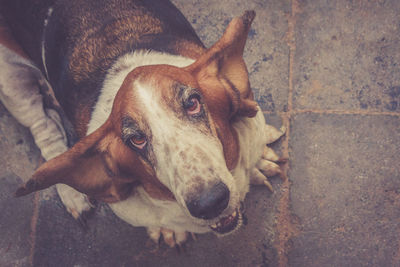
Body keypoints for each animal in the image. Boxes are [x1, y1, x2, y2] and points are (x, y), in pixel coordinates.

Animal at [0, 0, 284, 248]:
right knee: (43, 127)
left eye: (193, 103)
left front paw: (259, 163)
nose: (210, 203)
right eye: (137, 140)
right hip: (10, 79)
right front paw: (170, 231)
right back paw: (73, 195)